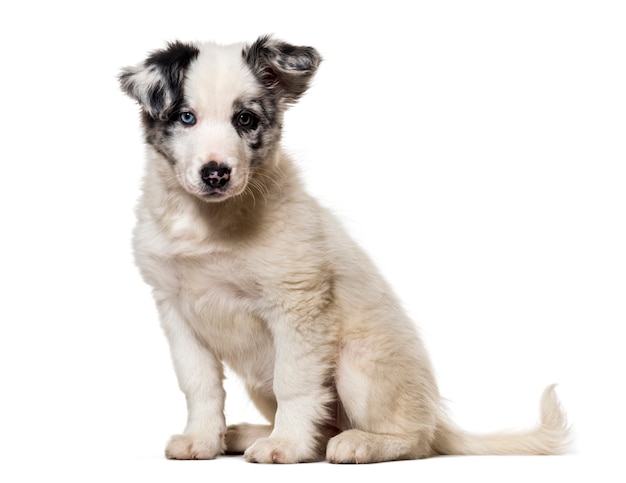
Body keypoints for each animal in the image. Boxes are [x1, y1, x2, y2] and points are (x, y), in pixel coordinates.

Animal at [118, 36, 572, 464]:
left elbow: (295, 384)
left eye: (244, 119)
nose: (216, 173)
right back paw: (252, 434)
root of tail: (434, 415)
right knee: (324, 429)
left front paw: (284, 446)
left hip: (358, 363)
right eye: (185, 117)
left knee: (414, 440)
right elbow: (200, 385)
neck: (208, 223)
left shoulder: (296, 305)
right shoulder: (176, 310)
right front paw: (201, 440)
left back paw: (360, 443)